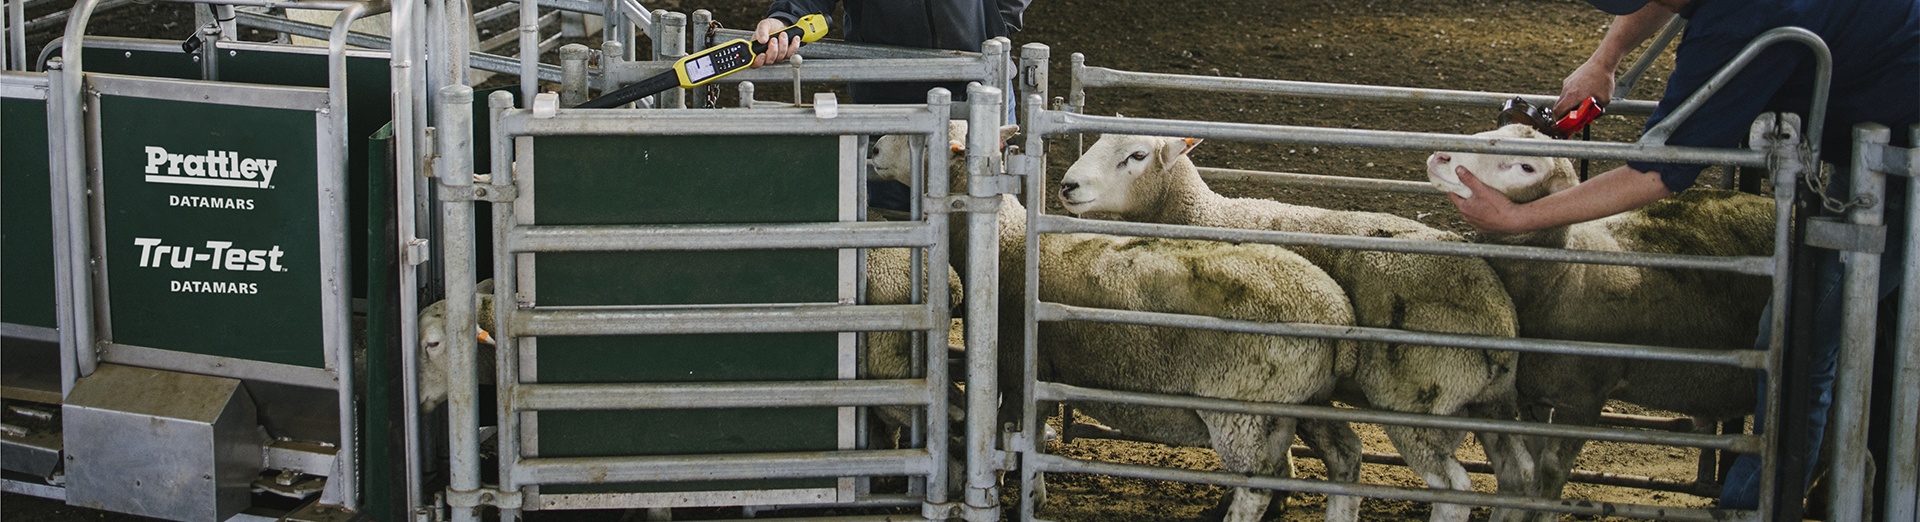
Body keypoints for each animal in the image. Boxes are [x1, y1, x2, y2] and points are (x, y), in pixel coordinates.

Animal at [874, 122, 1369, 522]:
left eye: (920, 141)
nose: (874, 149)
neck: (1006, 245)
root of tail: (1336, 310)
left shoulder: (1020, 371)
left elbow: (1019, 440)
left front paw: (1023, 499)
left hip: (1243, 411)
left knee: (1257, 485)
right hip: (1304, 401)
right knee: (1344, 456)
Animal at [1059, 133, 1532, 522]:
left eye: (1137, 155)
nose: (1067, 186)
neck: (1200, 215)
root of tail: (1497, 312)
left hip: (1416, 403)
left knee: (1454, 491)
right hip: (1493, 404)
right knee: (1520, 475)